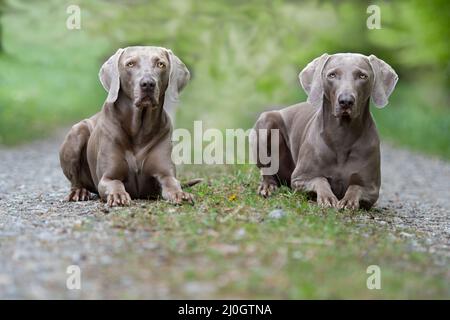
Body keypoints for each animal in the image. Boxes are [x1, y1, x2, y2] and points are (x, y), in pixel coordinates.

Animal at [59, 46, 196, 206]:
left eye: (160, 64)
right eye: (130, 64)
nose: (148, 84)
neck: (139, 130)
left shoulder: (165, 173)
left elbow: (173, 183)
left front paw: (181, 194)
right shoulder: (107, 177)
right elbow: (115, 183)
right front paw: (118, 196)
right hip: (77, 132)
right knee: (75, 181)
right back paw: (79, 192)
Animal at [251, 53, 400, 209]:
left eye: (362, 76)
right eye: (332, 75)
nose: (346, 101)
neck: (342, 136)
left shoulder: (372, 189)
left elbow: (355, 187)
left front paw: (348, 201)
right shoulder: (300, 178)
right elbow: (320, 180)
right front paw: (327, 198)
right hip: (266, 122)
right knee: (266, 170)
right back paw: (268, 187)